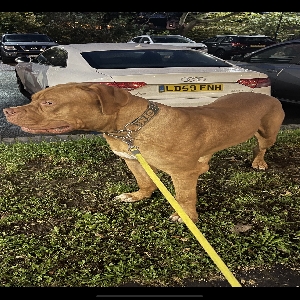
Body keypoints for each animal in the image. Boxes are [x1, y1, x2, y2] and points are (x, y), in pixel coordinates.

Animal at [2, 82, 284, 223]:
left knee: (261, 148)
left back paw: (259, 162)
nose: (7, 111)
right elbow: (144, 181)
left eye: (49, 103)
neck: (129, 128)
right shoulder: (133, 161)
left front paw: (187, 216)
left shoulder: (182, 173)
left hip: (268, 134)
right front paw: (138, 196)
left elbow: (184, 197)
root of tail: (270, 96)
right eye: (33, 98)